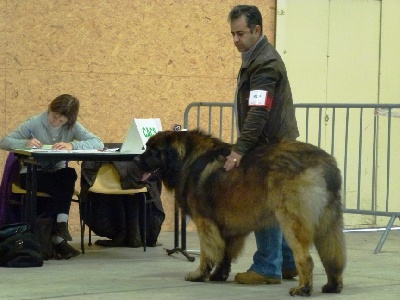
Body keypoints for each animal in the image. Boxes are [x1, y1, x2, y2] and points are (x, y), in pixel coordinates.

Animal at [136, 130, 346, 296]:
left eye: (154, 151)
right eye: (146, 147)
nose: (136, 159)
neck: (187, 158)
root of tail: (326, 163)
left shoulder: (205, 222)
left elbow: (208, 252)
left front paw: (199, 274)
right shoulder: (228, 226)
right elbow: (224, 253)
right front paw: (219, 275)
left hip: (293, 219)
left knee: (305, 258)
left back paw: (303, 288)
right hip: (329, 221)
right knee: (334, 254)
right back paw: (332, 285)